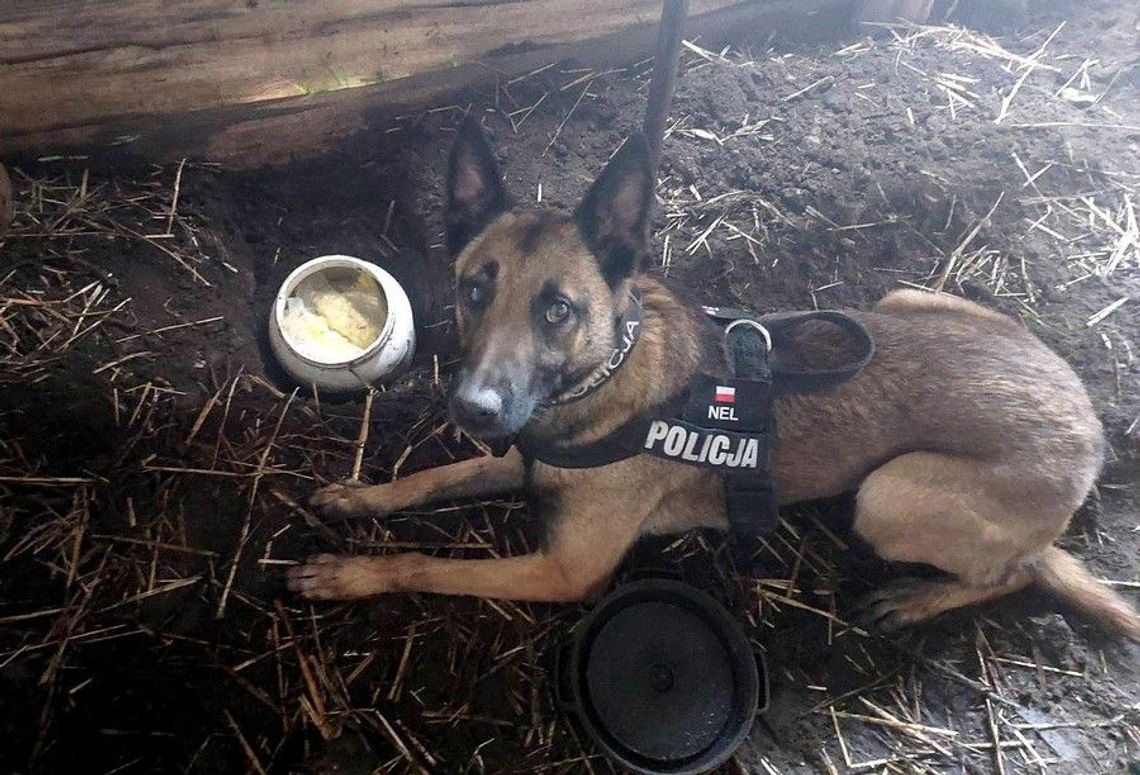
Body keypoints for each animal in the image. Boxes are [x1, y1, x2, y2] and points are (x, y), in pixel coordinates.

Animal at [287, 122, 1140, 642]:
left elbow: (427, 563)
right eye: (473, 289)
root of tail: (1091, 428)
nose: (474, 408)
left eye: (558, 310)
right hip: (901, 301)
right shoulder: (515, 457)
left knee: (1016, 570)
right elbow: (429, 479)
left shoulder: (563, 571)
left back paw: (921, 596)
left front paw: (354, 571)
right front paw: (361, 496)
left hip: (889, 494)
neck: (607, 373)